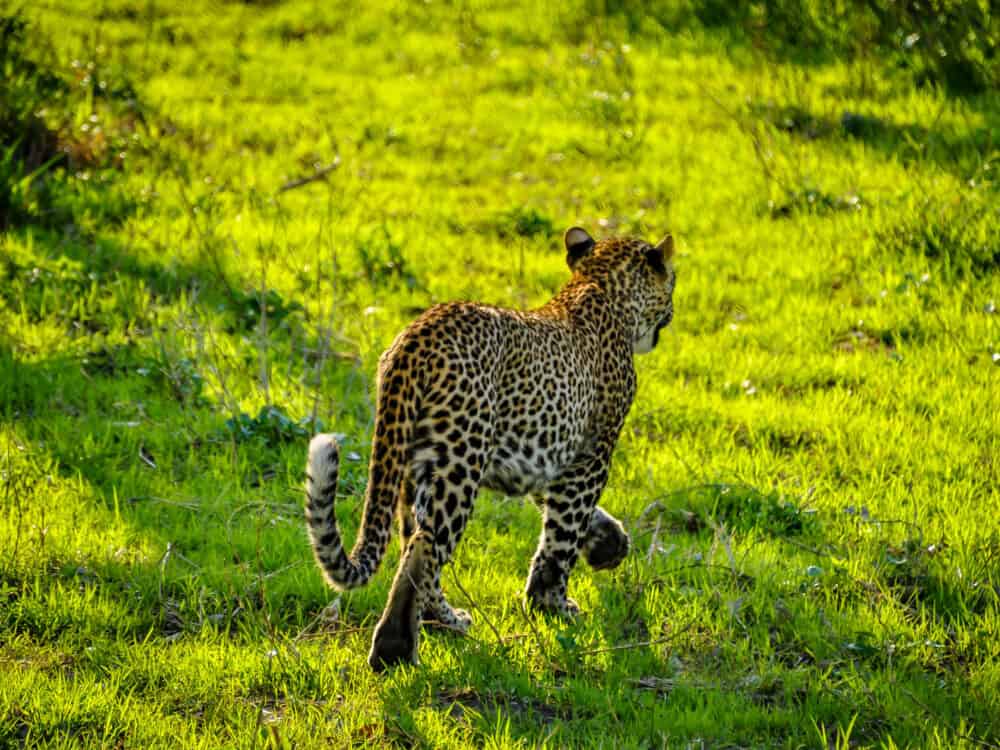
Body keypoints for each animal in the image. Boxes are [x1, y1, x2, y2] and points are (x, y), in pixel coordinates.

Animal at [305, 225, 677, 671]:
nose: (672, 313)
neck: (597, 284)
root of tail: (416, 337)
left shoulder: (540, 455)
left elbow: (564, 513)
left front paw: (609, 543)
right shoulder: (592, 453)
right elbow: (563, 532)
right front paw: (551, 603)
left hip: (414, 460)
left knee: (412, 539)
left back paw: (441, 622)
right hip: (460, 460)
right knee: (426, 544)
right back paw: (398, 648)